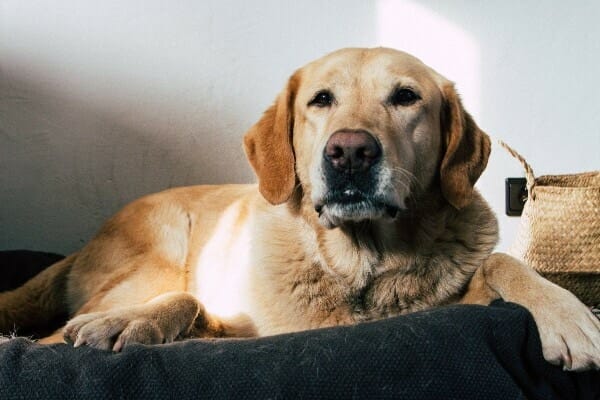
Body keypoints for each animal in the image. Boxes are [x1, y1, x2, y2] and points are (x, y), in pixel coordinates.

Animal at [0, 48, 596, 370]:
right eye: (321, 100)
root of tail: (84, 245)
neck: (360, 265)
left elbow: (502, 261)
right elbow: (189, 302)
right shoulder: (240, 324)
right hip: (157, 257)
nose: (350, 152)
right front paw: (133, 323)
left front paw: (568, 315)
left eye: (406, 97)